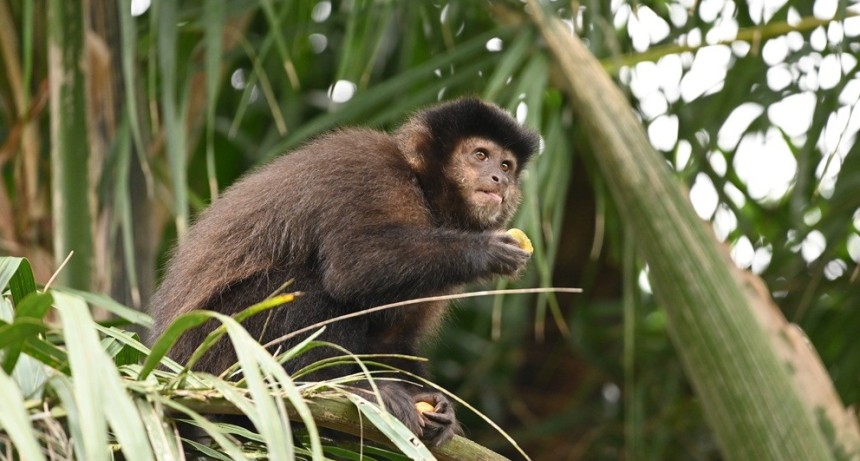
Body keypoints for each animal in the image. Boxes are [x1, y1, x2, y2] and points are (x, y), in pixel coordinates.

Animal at [149, 97, 541, 447]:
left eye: (507, 164)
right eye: (480, 155)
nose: (499, 179)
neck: (422, 189)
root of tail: (171, 369)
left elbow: (391, 340)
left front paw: (437, 405)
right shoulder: (372, 169)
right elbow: (352, 266)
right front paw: (484, 251)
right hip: (218, 345)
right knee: (310, 287)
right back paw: (338, 387)